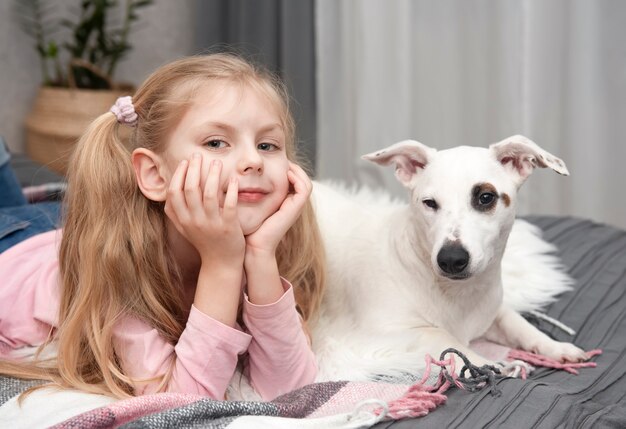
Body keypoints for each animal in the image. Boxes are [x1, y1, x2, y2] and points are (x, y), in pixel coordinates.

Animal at [310, 135, 588, 380]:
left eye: (485, 197)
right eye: (429, 203)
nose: (452, 259)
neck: (457, 293)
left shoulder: (492, 311)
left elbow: (519, 325)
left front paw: (556, 347)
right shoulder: (384, 334)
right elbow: (446, 339)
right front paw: (494, 365)